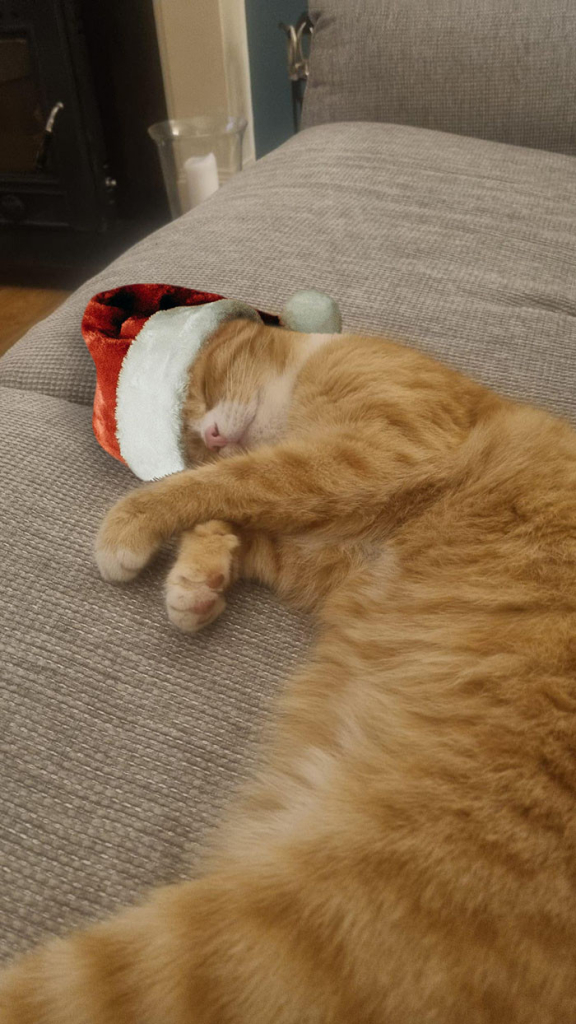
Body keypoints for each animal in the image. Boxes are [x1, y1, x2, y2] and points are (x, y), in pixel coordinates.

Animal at [1, 315, 573, 1019]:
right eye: (188, 435)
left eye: (199, 393)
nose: (212, 435)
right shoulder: (311, 543)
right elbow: (231, 509)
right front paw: (197, 582)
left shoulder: (382, 446)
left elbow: (226, 486)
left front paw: (135, 526)